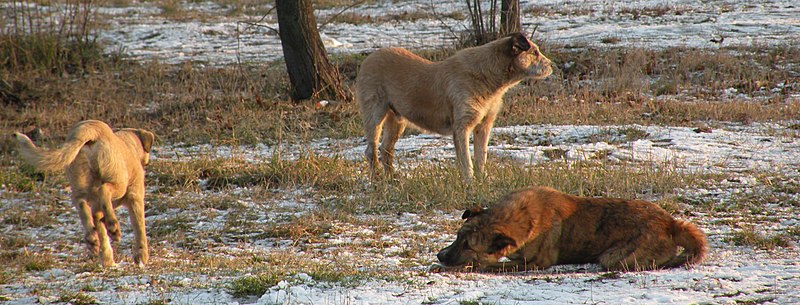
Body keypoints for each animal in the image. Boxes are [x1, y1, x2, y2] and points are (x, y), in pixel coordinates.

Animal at [14, 119, 154, 266]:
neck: (130, 145)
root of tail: (92, 129)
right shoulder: (135, 198)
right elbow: (140, 229)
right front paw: (141, 256)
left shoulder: (97, 209)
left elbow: (102, 232)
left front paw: (107, 260)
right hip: (118, 182)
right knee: (104, 190)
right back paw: (113, 226)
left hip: (78, 184)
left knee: (82, 205)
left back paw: (92, 239)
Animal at [358, 33, 552, 180]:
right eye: (535, 52)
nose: (552, 65)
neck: (488, 76)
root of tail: (368, 58)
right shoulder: (461, 127)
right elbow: (466, 160)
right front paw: (469, 183)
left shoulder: (483, 126)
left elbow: (481, 157)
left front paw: (481, 181)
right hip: (375, 115)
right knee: (371, 151)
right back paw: (378, 181)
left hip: (397, 120)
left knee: (386, 149)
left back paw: (393, 179)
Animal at [438, 185, 708, 270]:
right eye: (457, 237)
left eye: (468, 245)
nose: (439, 255)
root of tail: (671, 223)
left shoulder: (536, 263)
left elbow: (490, 265)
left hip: (614, 256)